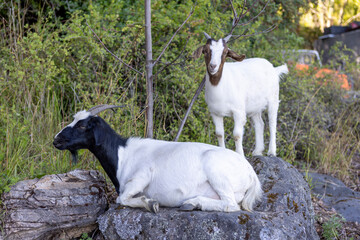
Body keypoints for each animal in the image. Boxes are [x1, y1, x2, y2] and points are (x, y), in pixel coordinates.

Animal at [53, 104, 262, 213]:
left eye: (82, 126)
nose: (57, 140)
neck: (123, 155)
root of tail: (251, 174)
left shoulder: (141, 176)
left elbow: (122, 198)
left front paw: (150, 203)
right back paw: (191, 203)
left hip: (217, 172)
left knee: (231, 204)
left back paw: (192, 203)